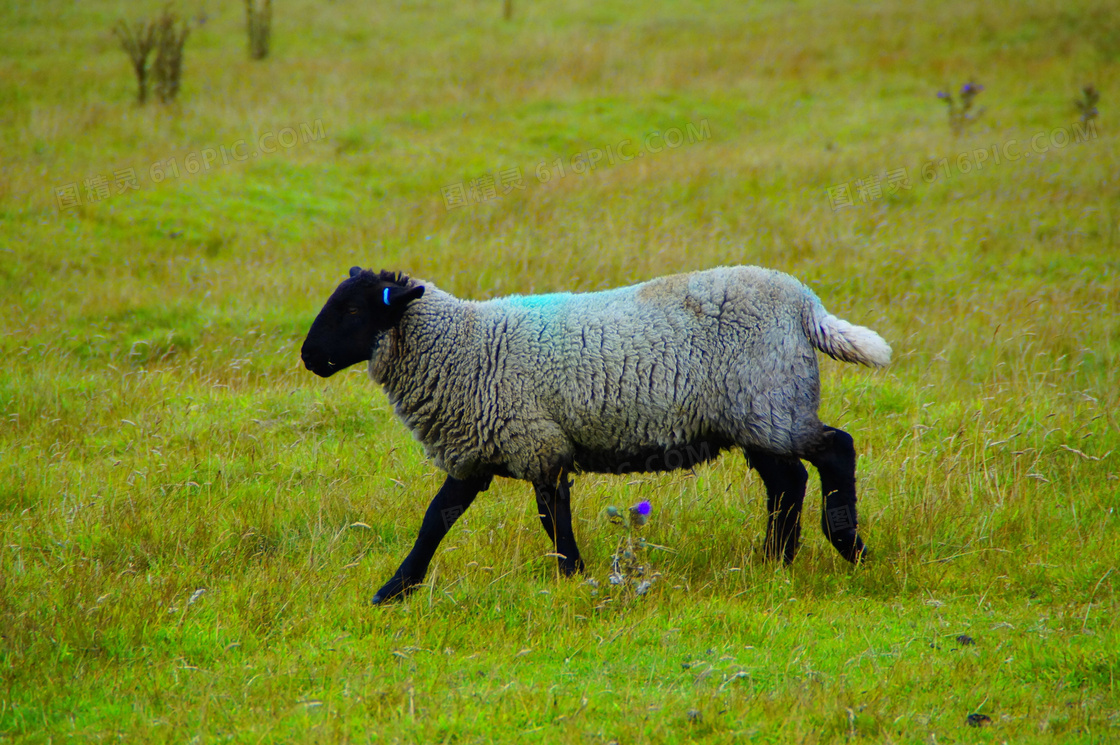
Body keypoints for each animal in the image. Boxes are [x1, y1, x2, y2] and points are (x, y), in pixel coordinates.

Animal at [300, 264, 891, 600]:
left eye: (350, 309)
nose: (307, 357)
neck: (461, 346)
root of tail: (805, 304)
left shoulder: (536, 443)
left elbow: (551, 519)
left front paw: (574, 577)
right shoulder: (479, 451)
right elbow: (435, 521)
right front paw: (395, 590)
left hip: (770, 403)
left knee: (834, 451)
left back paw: (848, 547)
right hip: (756, 415)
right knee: (787, 482)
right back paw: (773, 562)